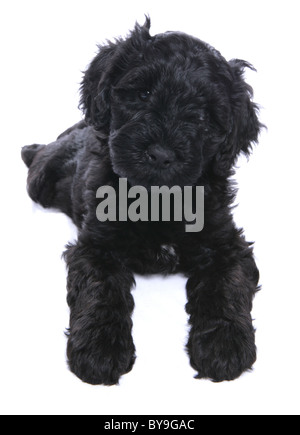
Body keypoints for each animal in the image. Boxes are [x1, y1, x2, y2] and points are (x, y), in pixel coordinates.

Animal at [21, 17, 262, 384]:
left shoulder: (227, 242)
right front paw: (100, 349)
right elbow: (100, 289)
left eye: (204, 115)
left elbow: (228, 285)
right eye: (143, 93)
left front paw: (225, 344)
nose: (161, 154)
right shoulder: (96, 245)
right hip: (40, 181)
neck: (156, 200)